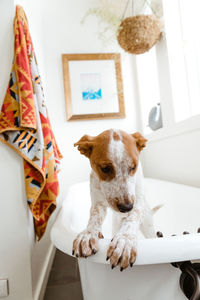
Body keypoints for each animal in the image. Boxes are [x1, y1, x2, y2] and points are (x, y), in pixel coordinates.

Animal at [72, 129, 157, 272]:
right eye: (105, 168)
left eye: (133, 167)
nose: (126, 208)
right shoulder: (98, 203)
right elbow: (94, 217)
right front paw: (88, 234)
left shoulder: (138, 203)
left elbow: (132, 217)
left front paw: (124, 240)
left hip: (149, 227)